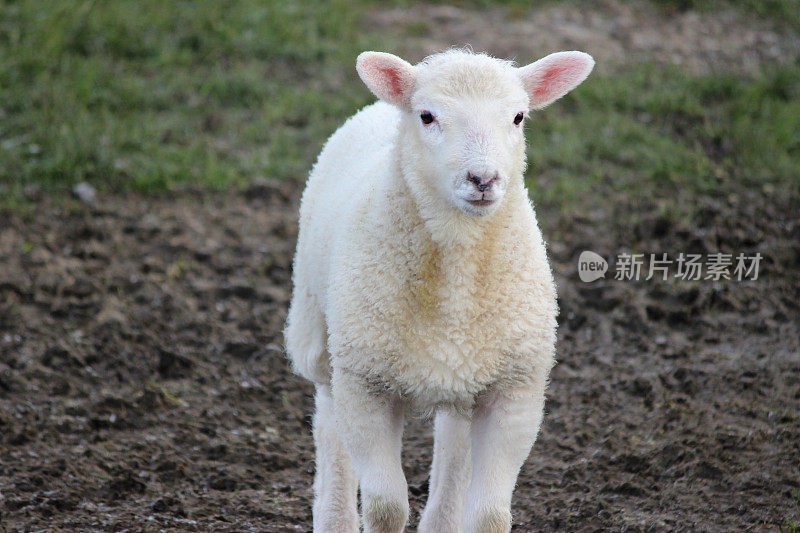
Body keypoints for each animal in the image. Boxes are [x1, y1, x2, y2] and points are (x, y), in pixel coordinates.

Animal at [286, 47, 592, 528]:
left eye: (519, 116)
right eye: (427, 116)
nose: (483, 179)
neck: (456, 280)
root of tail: (380, 107)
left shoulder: (514, 391)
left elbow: (489, 515)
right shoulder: (366, 385)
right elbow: (386, 507)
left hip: (469, 371)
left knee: (454, 443)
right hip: (320, 333)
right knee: (329, 419)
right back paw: (334, 518)